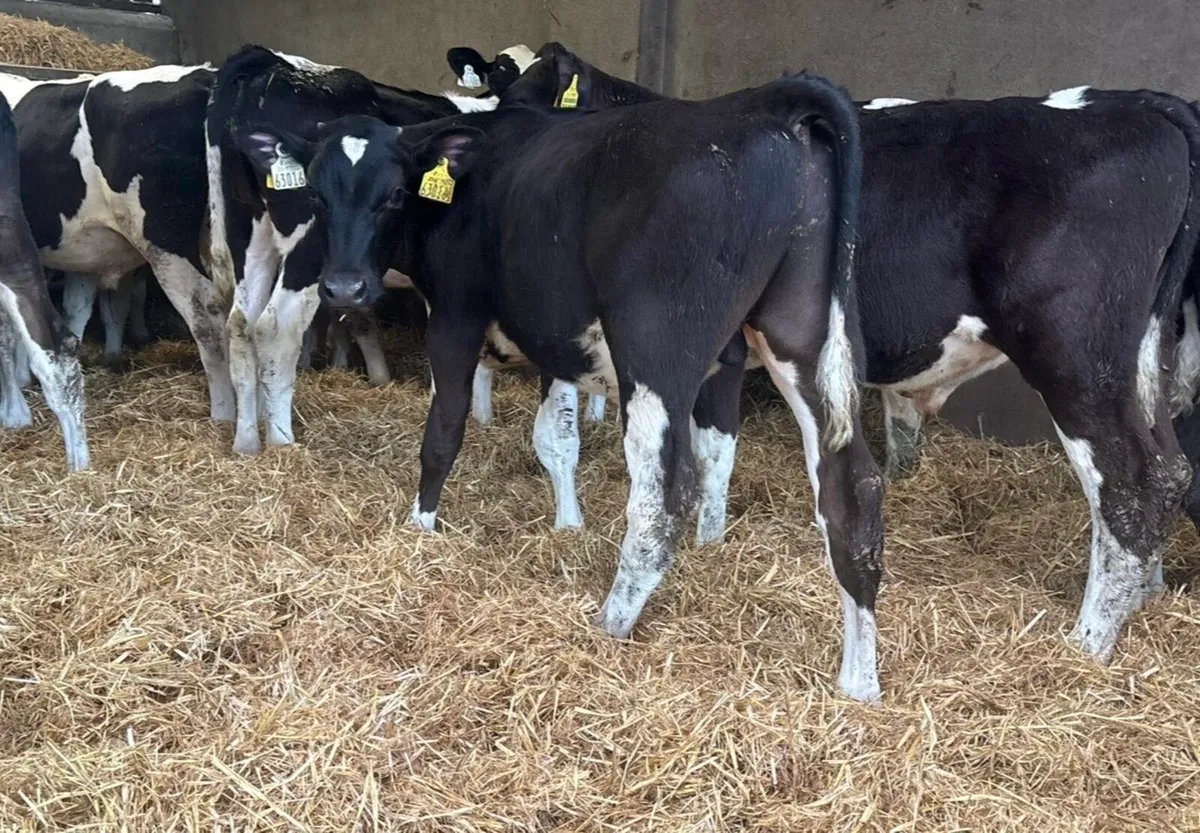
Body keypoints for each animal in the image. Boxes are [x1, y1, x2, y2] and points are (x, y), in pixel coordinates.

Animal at [236, 72, 885, 701]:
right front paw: (567, 524)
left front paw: (421, 527)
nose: (344, 287)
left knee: (663, 495)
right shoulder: (554, 338)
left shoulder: (454, 317)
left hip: (656, 349)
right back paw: (859, 678)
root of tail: (767, 107)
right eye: (317, 196)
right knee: (851, 486)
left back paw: (612, 622)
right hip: (803, 338)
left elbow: (444, 431)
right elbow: (556, 439)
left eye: (394, 194)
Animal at [478, 43, 1200, 665]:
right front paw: (714, 546)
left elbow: (590, 441)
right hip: (1151, 354)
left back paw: (1088, 644)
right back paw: (1145, 595)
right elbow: (715, 454)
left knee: (1130, 483)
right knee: (1169, 470)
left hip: (1075, 351)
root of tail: (1139, 104)